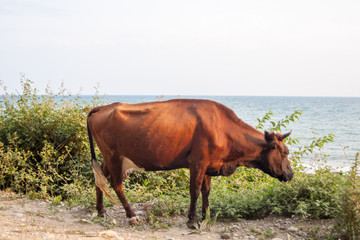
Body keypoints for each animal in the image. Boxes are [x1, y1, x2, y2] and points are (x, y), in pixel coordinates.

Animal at [87, 98, 292, 227]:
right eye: (284, 152)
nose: (290, 174)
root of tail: (104, 107)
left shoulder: (210, 164)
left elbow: (206, 190)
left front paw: (206, 215)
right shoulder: (198, 162)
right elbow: (194, 190)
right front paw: (193, 220)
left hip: (110, 157)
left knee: (100, 178)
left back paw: (101, 211)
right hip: (113, 155)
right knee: (116, 184)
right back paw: (132, 216)